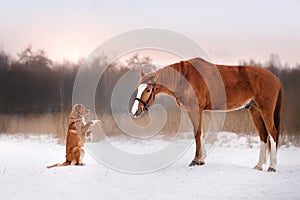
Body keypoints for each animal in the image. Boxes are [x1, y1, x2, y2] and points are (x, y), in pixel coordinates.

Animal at [130, 57, 282, 172]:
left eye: (148, 90)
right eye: (138, 88)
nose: (134, 112)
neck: (184, 78)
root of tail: (276, 78)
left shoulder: (196, 109)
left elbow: (197, 133)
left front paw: (196, 160)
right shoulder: (194, 111)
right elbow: (200, 133)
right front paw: (201, 160)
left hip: (266, 110)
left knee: (272, 133)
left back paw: (272, 167)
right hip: (254, 110)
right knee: (263, 135)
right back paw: (259, 166)